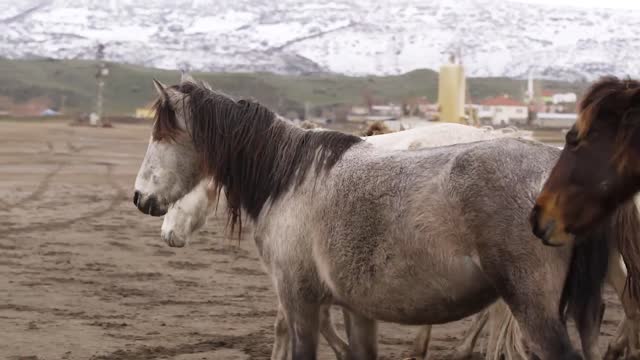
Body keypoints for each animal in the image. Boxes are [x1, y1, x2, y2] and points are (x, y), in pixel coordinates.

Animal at [134, 79, 632, 360]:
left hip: (533, 307)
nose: (141, 199)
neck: (290, 176)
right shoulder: (355, 308)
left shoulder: (298, 298)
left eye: (161, 135)